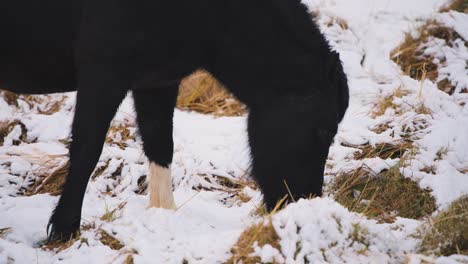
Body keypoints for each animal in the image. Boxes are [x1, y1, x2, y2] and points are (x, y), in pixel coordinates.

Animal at [0, 0, 348, 240]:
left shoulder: (157, 81)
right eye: (323, 130)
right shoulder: (103, 75)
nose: (304, 202)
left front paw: (163, 213)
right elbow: (87, 151)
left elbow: (160, 144)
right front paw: (64, 228)